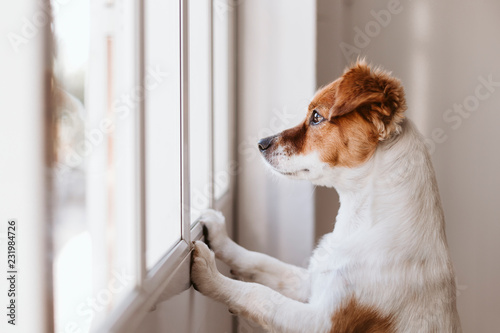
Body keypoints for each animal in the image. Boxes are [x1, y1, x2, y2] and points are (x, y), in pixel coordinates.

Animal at [190, 60, 460, 332]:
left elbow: (259, 294)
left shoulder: (322, 322)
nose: (260, 143)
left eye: (317, 117)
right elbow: (261, 261)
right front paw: (220, 237)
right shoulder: (311, 282)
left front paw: (210, 275)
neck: (361, 224)